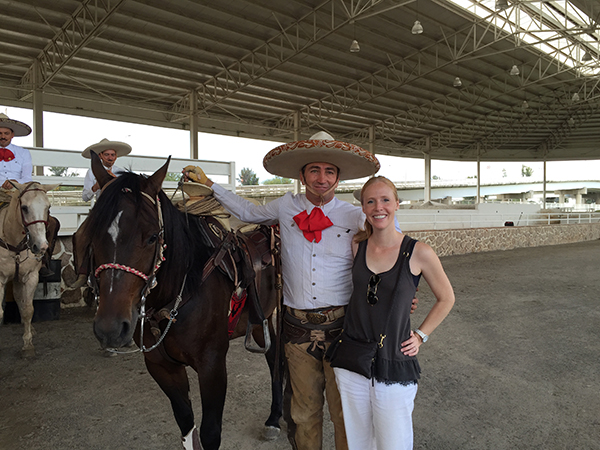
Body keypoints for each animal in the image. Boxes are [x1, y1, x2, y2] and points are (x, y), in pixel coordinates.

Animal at [0, 182, 57, 356]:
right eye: (24, 207)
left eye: (48, 207)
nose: (41, 246)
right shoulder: (0, 279)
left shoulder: (30, 277)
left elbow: (27, 309)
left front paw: (28, 345)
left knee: (20, 300)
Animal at [80, 153, 284, 448]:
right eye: (93, 233)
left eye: (153, 236)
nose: (110, 328)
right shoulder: (162, 367)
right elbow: (187, 427)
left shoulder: (212, 366)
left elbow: (210, 434)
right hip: (260, 320)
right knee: (272, 354)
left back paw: (276, 418)